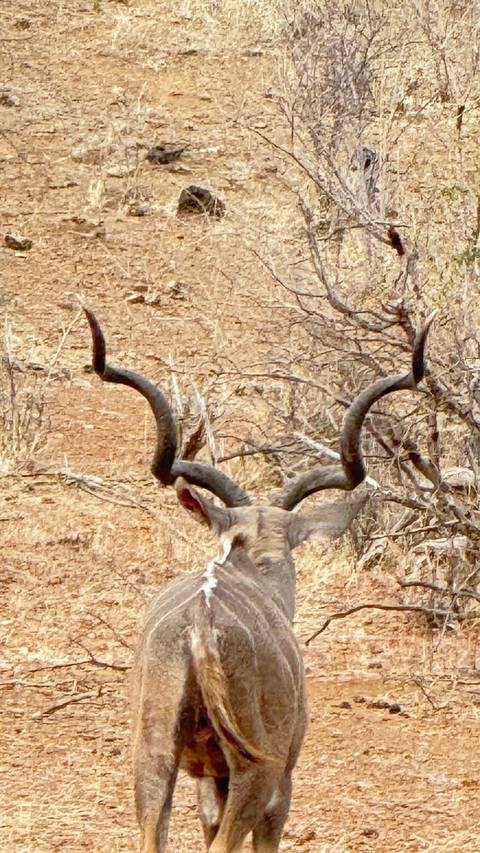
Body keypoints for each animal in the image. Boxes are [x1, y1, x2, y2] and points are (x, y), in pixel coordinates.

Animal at [83, 307, 433, 853]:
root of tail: (199, 623)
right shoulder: (278, 779)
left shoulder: (209, 776)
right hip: (259, 768)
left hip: (154, 756)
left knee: (153, 832)